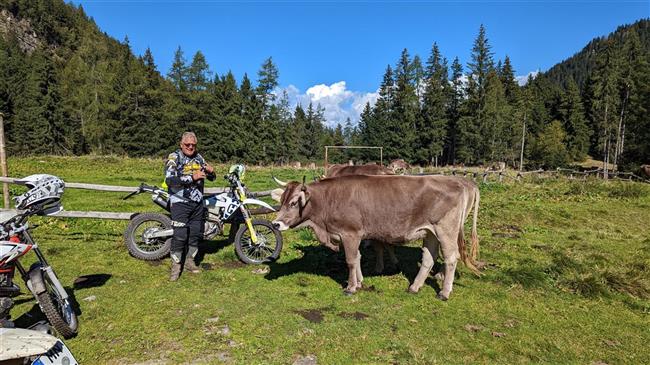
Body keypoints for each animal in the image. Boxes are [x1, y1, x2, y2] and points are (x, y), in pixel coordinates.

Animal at [270, 175, 478, 300]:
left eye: (294, 202)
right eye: (281, 201)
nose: (276, 224)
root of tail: (457, 182)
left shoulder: (350, 233)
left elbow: (351, 260)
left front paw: (351, 287)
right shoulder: (351, 235)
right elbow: (358, 258)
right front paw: (360, 282)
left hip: (445, 230)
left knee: (451, 258)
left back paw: (444, 292)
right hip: (430, 232)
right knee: (429, 258)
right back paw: (414, 287)